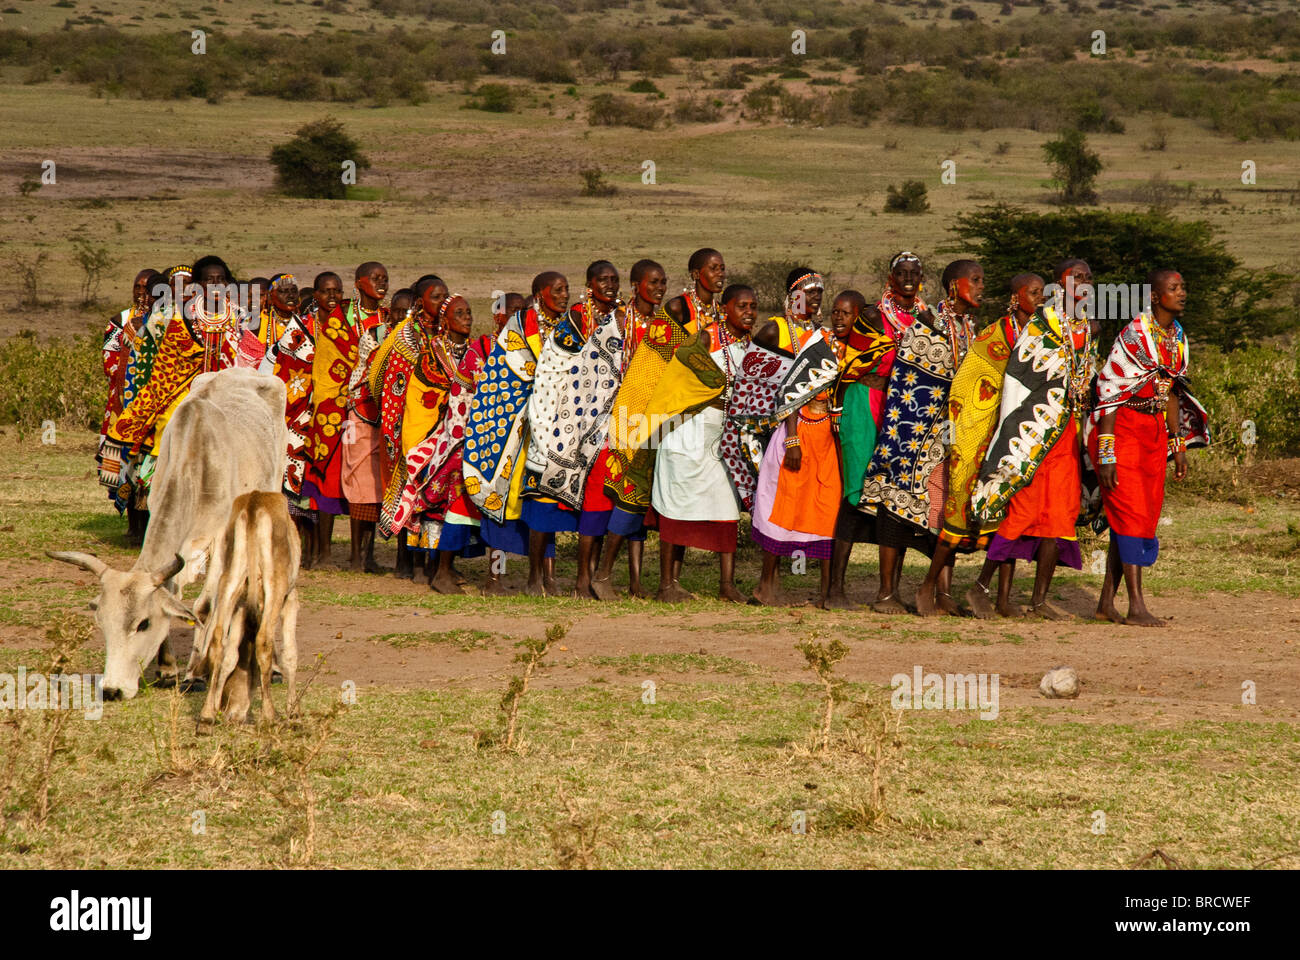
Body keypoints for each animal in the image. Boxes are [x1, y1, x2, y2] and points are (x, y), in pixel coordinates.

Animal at [50, 364, 287, 697]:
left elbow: (204, 607)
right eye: (102, 623)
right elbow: (172, 593)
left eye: (143, 624)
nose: (112, 690)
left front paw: (196, 673)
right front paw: (167, 668)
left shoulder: (217, 539)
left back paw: (272, 665)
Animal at [188, 489, 299, 728]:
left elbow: (230, 655)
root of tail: (253, 504)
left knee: (217, 640)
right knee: (264, 641)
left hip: (229, 580)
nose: (229, 711)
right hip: (275, 586)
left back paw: (207, 715)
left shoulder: (240, 605)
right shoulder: (290, 598)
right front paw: (293, 711)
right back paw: (270, 715)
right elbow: (290, 653)